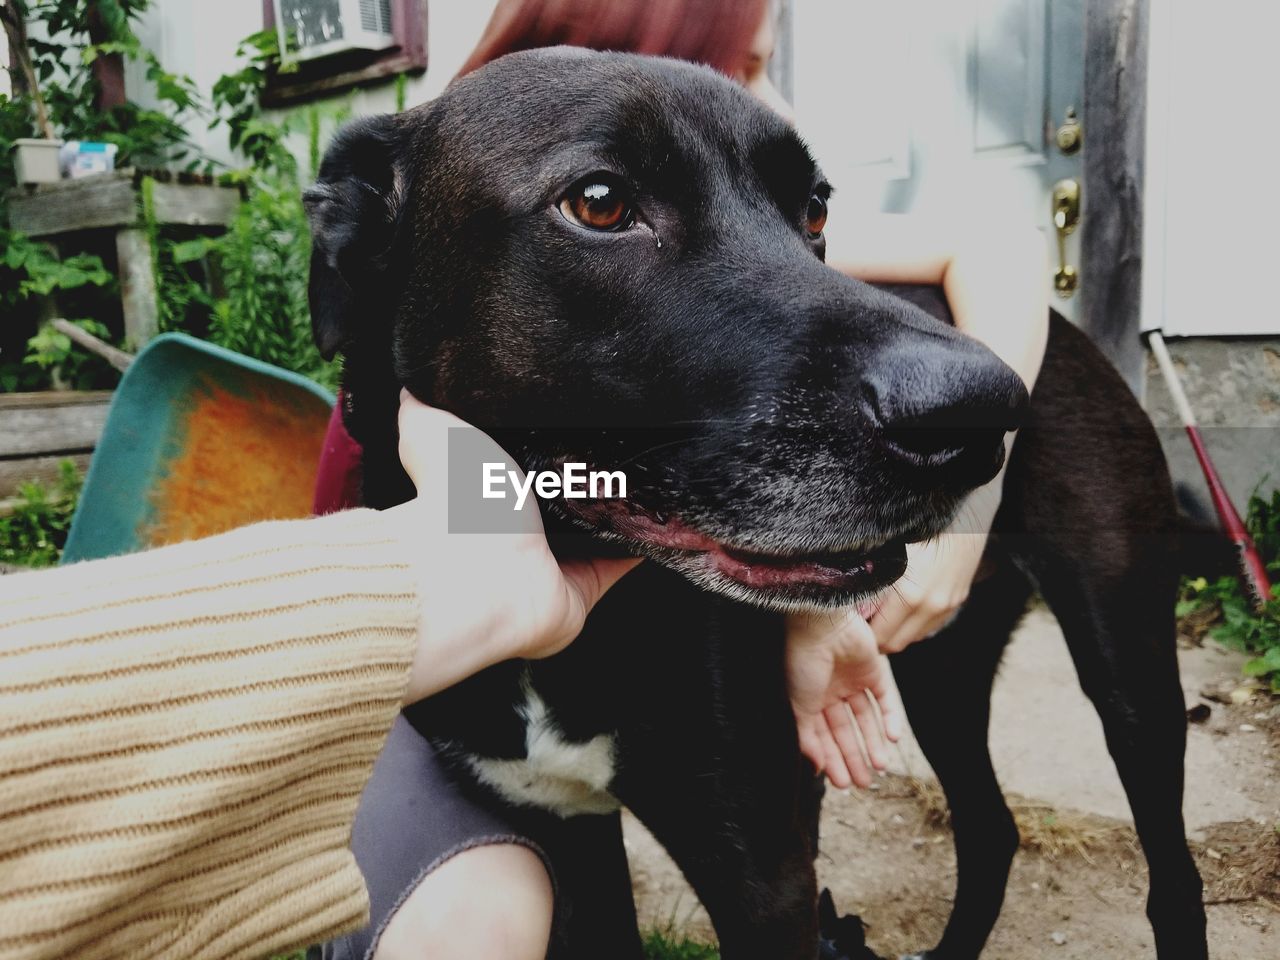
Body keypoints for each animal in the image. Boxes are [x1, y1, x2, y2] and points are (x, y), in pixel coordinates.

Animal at [304, 50, 1203, 960]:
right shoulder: (563, 829)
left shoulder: (764, 874)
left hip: (1126, 668)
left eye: (814, 209)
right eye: (599, 202)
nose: (981, 414)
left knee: (1170, 872)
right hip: (939, 668)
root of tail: (1073, 334)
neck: (570, 645)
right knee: (992, 829)